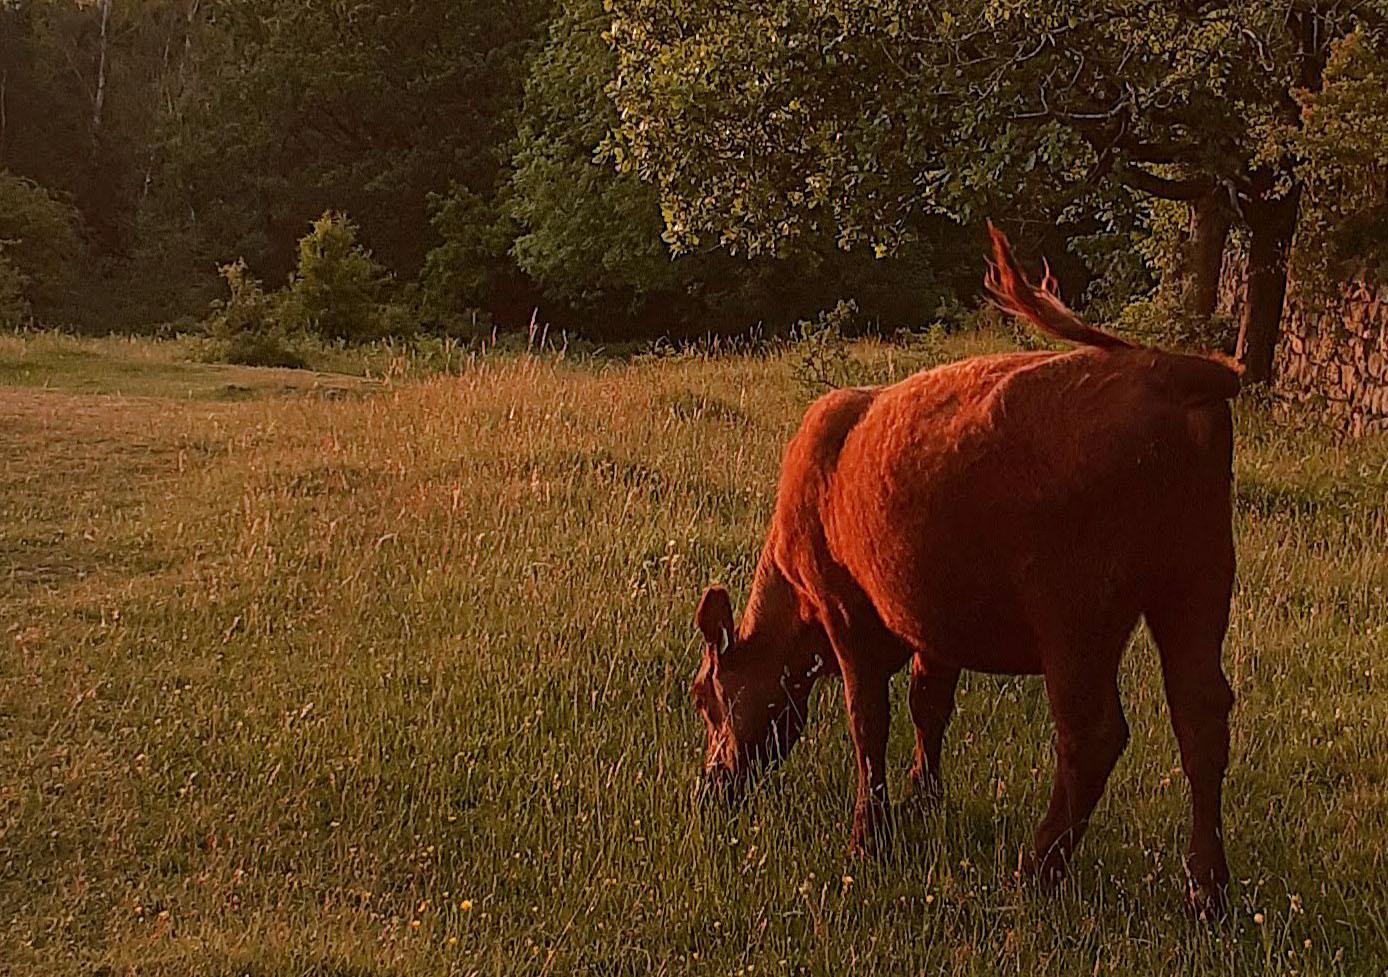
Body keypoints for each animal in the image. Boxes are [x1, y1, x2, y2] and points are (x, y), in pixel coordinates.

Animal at [688, 222, 1243, 915]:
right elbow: (929, 704)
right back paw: (1207, 890)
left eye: (703, 696)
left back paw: (1036, 870)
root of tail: (1166, 366)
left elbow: (868, 722)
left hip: (1076, 612)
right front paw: (923, 797)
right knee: (1202, 717)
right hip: (1197, 584)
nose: (711, 787)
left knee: (1093, 734)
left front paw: (869, 838)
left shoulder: (848, 615)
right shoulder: (932, 621)